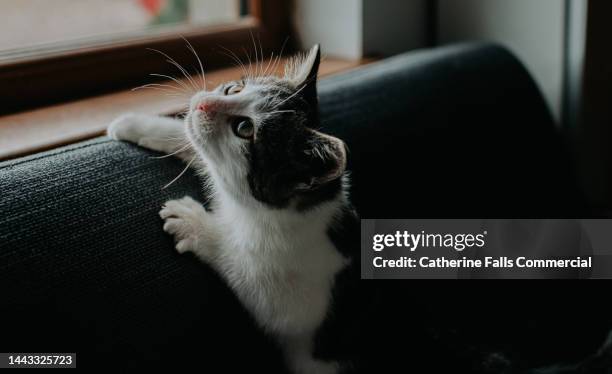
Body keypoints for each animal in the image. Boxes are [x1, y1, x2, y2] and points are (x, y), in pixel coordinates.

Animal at [107, 44, 356, 374]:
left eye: (244, 128)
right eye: (234, 88)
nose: (202, 104)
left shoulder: (303, 303)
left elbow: (248, 275)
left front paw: (194, 223)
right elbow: (196, 145)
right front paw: (135, 123)